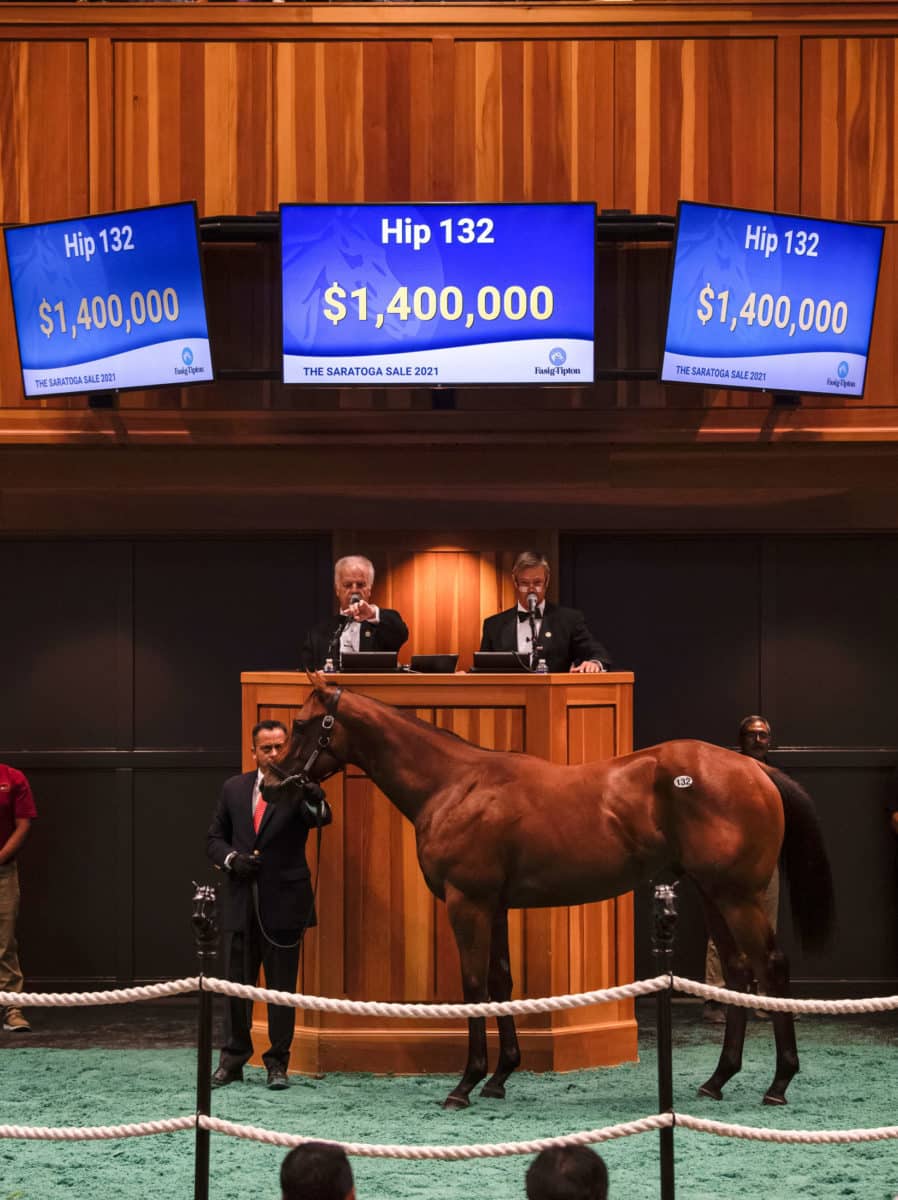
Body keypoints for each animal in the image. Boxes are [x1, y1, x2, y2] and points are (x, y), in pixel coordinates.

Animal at [265, 681, 835, 1108]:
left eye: (302, 724)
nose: (271, 783)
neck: (455, 785)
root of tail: (754, 767)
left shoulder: (467, 902)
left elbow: (473, 985)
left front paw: (465, 1083)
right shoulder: (492, 905)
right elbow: (501, 980)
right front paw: (500, 1077)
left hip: (737, 895)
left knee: (770, 967)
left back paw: (778, 1083)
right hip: (712, 893)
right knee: (738, 972)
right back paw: (718, 1080)